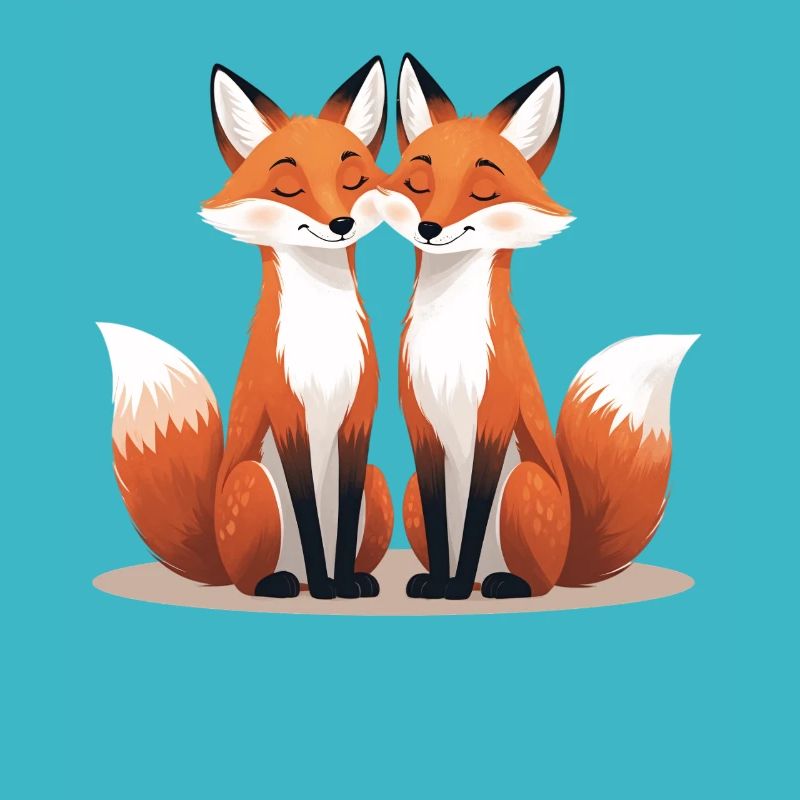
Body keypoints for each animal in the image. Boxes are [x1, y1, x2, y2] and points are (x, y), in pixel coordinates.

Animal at [98, 58, 394, 599]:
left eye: (353, 179)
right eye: (288, 187)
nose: (341, 223)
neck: (323, 340)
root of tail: (216, 549)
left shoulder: (358, 418)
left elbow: (340, 523)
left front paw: (342, 583)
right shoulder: (287, 415)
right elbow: (308, 516)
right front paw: (328, 588)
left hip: (377, 484)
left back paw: (352, 578)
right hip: (252, 483)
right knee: (251, 577)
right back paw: (284, 583)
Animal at [373, 54, 698, 599]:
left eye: (483, 190)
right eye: (419, 184)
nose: (428, 229)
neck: (449, 343)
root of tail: (569, 554)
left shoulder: (494, 419)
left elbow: (474, 518)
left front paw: (453, 589)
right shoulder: (421, 428)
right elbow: (444, 528)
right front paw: (439, 582)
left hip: (525, 484)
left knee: (537, 581)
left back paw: (501, 584)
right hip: (412, 493)